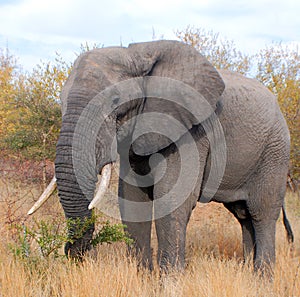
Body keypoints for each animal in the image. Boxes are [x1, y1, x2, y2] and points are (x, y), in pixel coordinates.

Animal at [28, 40, 292, 274]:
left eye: (115, 101)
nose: (71, 252)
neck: (136, 54)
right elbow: (132, 202)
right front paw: (144, 279)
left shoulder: (190, 131)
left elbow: (172, 200)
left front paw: (170, 283)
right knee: (243, 215)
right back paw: (248, 273)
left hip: (275, 151)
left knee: (262, 213)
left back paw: (262, 279)